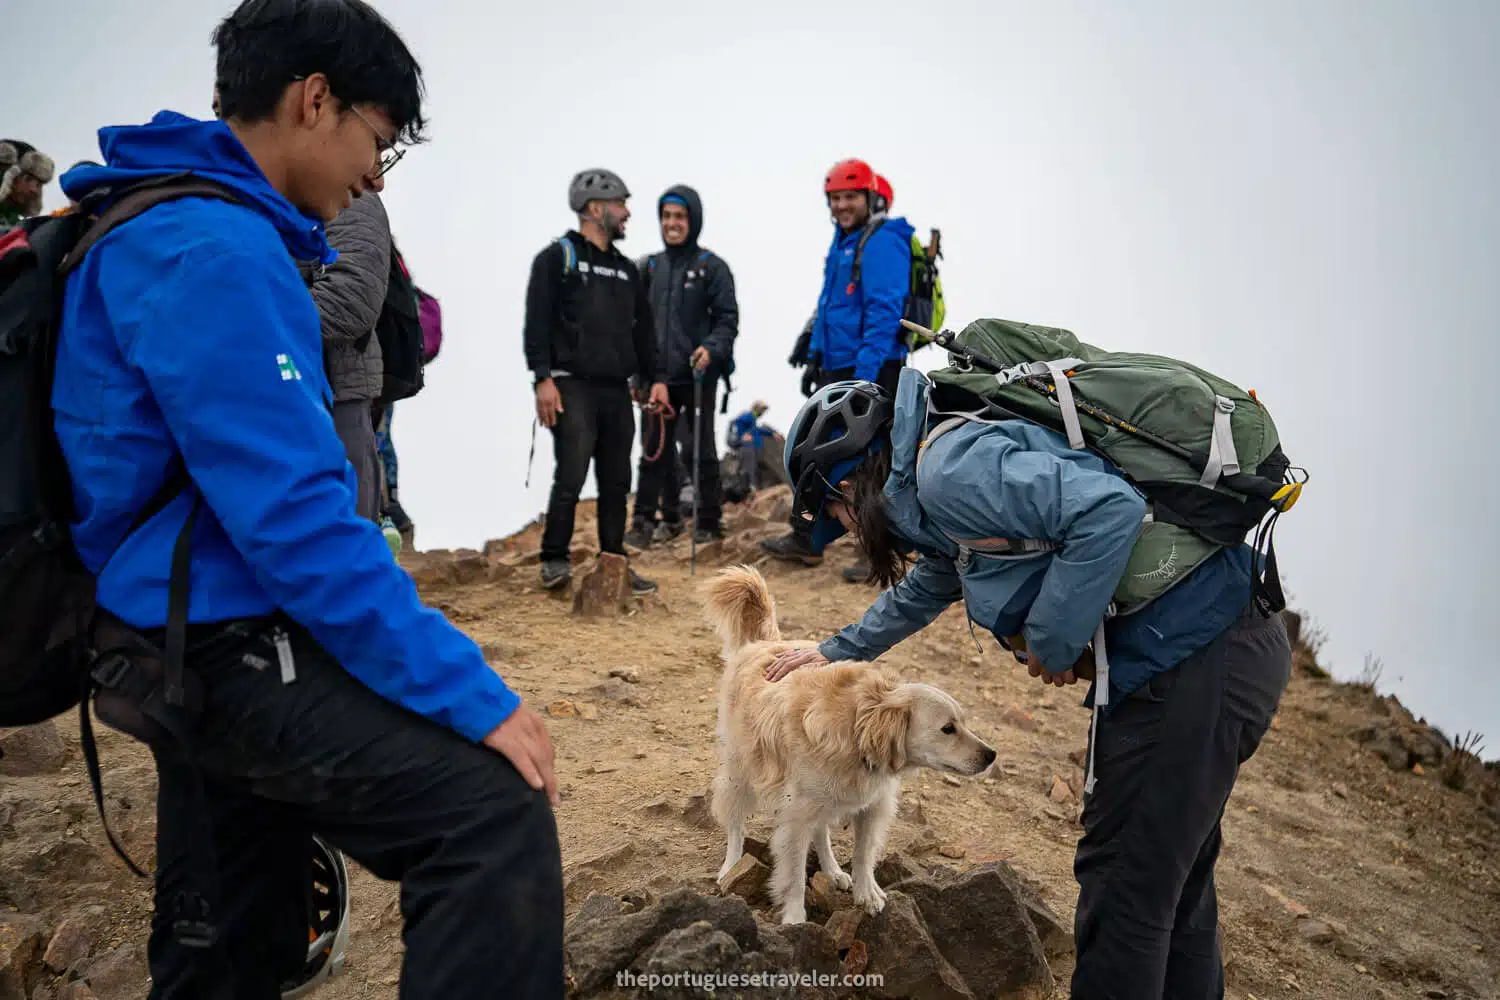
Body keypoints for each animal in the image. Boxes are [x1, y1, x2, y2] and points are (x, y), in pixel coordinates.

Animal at [702, 566, 996, 929]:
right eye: (947, 729)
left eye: (963, 723)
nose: (991, 756)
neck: (859, 727)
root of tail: (768, 642)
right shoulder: (795, 816)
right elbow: (794, 875)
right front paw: (796, 918)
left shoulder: (874, 804)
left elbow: (863, 854)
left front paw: (866, 892)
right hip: (740, 771)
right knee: (735, 822)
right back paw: (731, 866)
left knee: (821, 831)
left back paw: (832, 870)